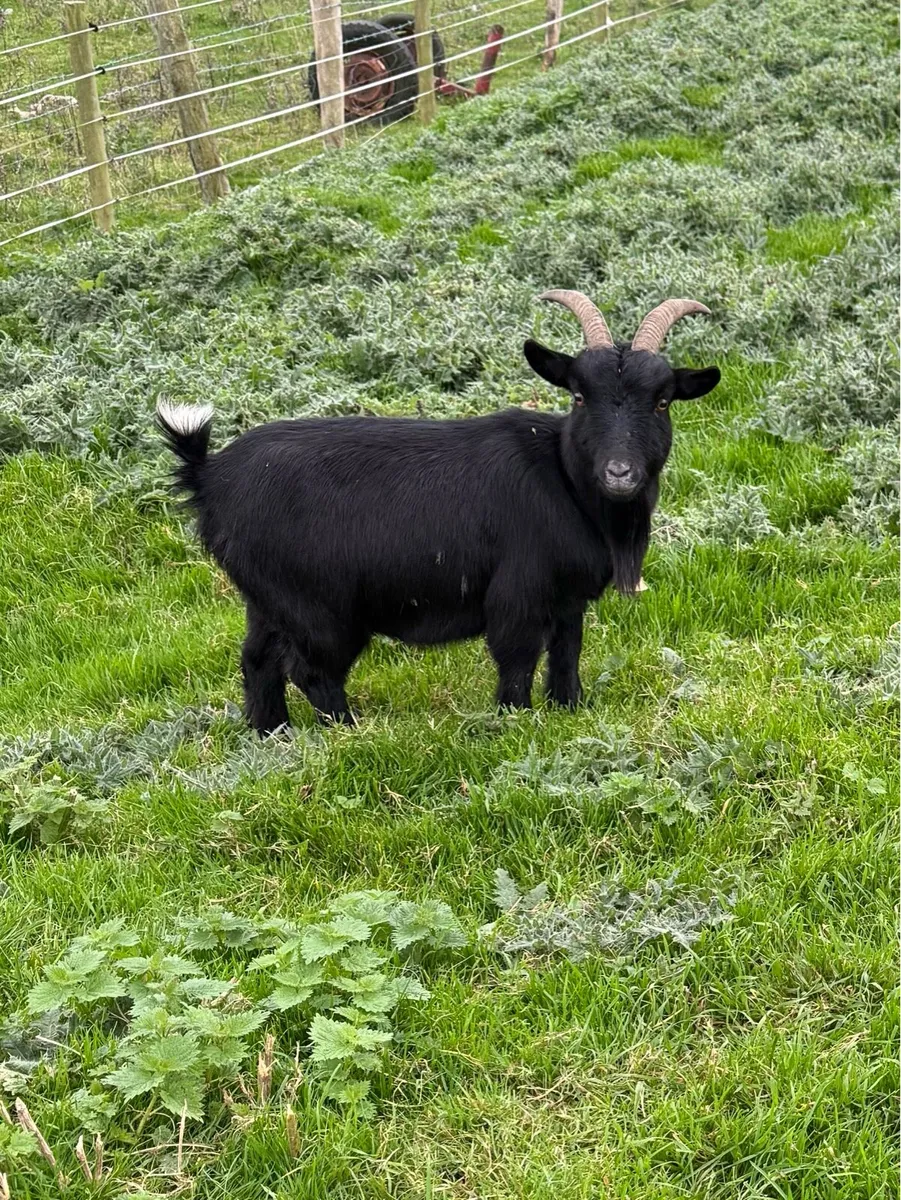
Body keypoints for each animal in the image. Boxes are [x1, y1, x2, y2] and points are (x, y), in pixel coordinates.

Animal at [158, 293, 720, 732]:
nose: (620, 473)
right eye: (580, 396)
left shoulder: (567, 600)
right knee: (313, 671)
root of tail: (211, 476)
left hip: (265, 597)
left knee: (257, 660)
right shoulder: (518, 591)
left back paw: (272, 735)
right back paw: (348, 732)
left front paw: (569, 710)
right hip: (315, 604)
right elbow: (517, 659)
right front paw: (514, 721)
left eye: (663, 401)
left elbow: (567, 653)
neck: (564, 480)